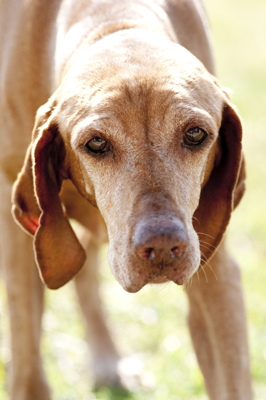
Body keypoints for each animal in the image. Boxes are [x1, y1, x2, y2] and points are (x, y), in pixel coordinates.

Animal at [0, 0, 252, 398]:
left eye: (196, 134)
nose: (162, 247)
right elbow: (27, 363)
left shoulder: (217, 275)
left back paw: (108, 362)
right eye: (96, 143)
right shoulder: (23, 237)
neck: (113, 18)